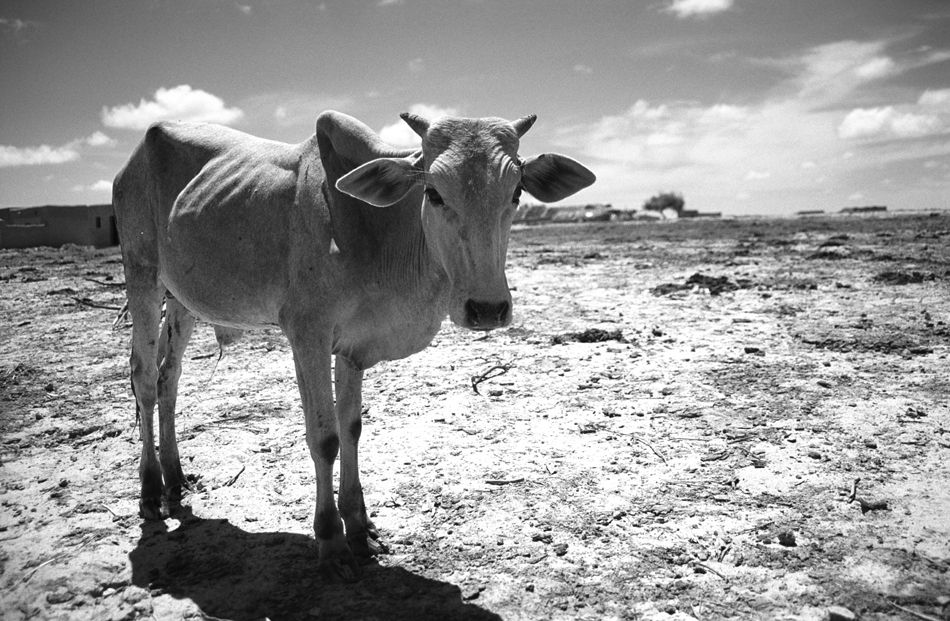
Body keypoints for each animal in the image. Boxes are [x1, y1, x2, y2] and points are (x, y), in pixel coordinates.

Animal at [113, 109, 596, 580]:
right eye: (434, 193)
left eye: (516, 192)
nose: (488, 308)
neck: (379, 231)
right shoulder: (308, 334)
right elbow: (324, 438)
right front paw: (331, 540)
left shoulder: (353, 347)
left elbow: (352, 430)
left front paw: (359, 526)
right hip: (142, 274)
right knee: (144, 378)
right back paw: (151, 489)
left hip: (181, 300)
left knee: (169, 379)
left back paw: (175, 479)